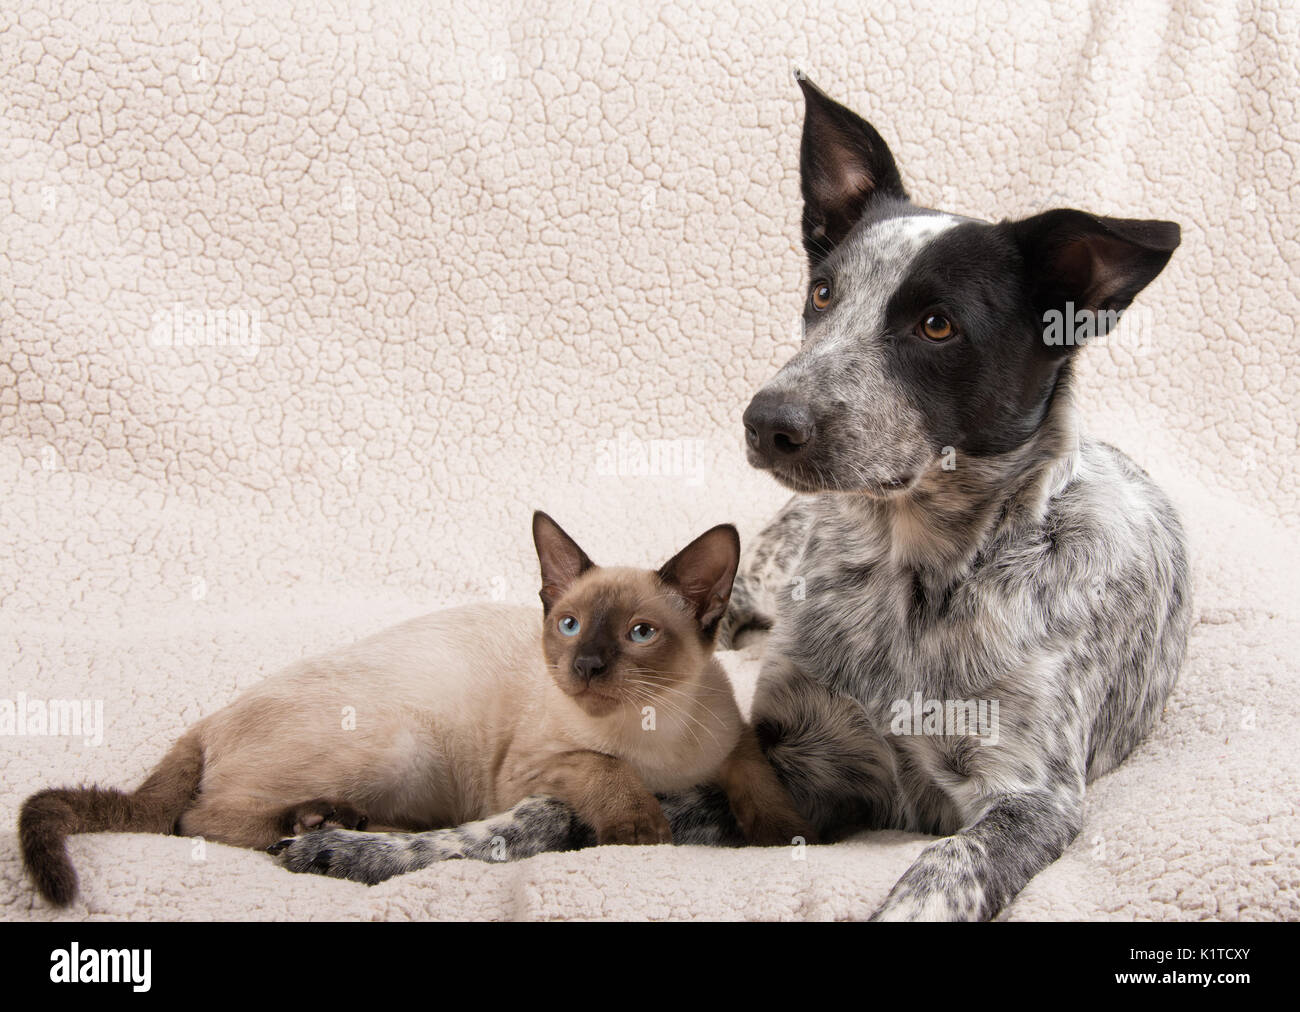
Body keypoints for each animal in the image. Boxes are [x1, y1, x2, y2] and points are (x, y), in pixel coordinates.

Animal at [20, 512, 806, 900]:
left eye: (641, 634)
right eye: (570, 625)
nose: (583, 667)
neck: (658, 735)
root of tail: (209, 718)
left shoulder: (732, 743)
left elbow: (757, 778)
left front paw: (780, 830)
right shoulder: (533, 772)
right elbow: (607, 776)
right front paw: (643, 830)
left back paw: (332, 823)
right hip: (404, 745)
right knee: (198, 820)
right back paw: (312, 827)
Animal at [279, 74, 1190, 920]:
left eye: (938, 325)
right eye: (823, 293)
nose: (768, 420)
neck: (911, 578)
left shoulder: (1027, 799)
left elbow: (942, 869)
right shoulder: (797, 770)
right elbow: (547, 813)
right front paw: (382, 846)